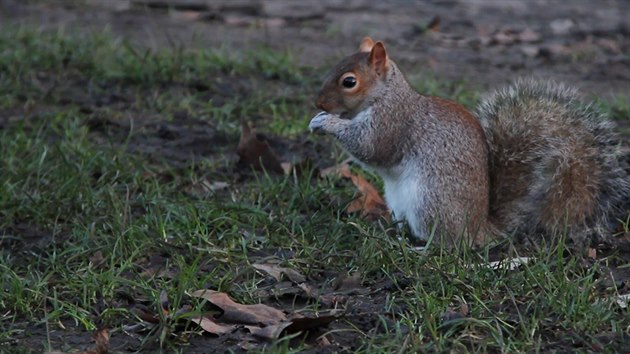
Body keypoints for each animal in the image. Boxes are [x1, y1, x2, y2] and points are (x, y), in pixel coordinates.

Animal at [312, 36, 630, 248]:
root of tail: (480, 228)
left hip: (430, 202)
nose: (318, 103)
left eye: (349, 82)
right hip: (400, 202)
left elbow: (370, 147)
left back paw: (421, 249)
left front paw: (327, 123)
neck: (386, 94)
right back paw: (391, 232)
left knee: (451, 244)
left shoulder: (392, 123)